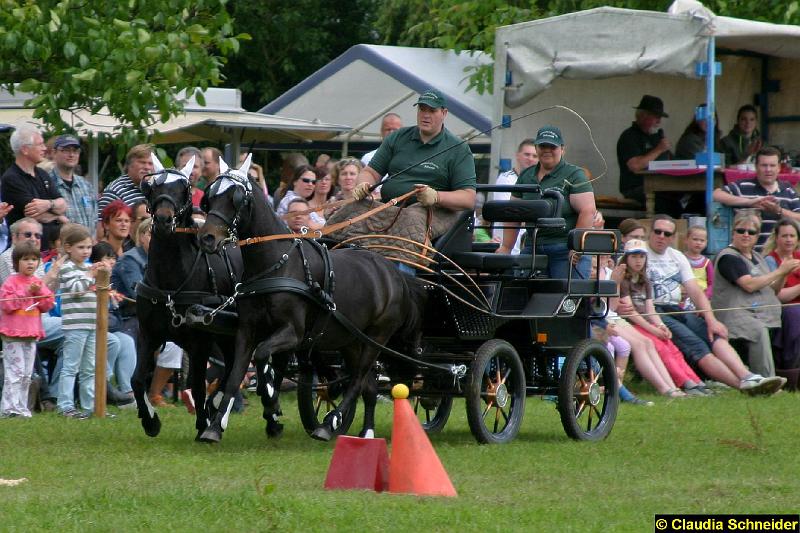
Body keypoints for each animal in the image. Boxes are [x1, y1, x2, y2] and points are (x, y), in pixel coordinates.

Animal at [131, 155, 245, 440]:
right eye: (152, 187)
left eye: (184, 189)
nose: (163, 220)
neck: (170, 284)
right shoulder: (148, 334)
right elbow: (137, 379)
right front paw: (150, 421)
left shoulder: (199, 342)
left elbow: (197, 383)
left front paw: (203, 425)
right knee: (230, 367)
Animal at [198, 161, 428, 440]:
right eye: (210, 197)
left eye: (236, 198)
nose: (206, 238)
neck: (277, 265)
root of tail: (395, 273)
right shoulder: (247, 330)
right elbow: (233, 377)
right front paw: (214, 426)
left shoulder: (293, 333)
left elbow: (263, 356)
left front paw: (271, 402)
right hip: (351, 339)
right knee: (368, 386)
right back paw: (365, 432)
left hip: (376, 338)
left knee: (358, 380)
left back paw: (329, 424)